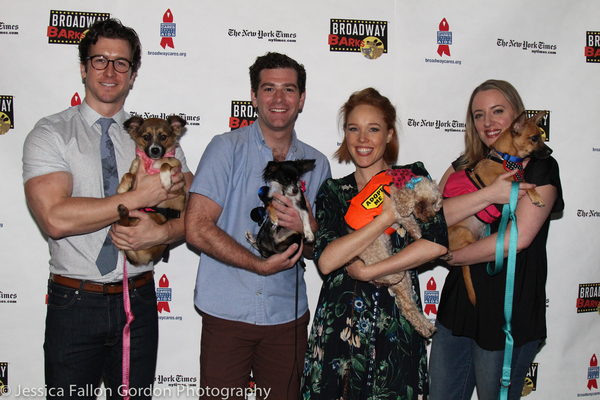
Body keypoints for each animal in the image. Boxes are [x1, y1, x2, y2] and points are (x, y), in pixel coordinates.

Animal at [115, 115, 185, 266]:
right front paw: (122, 188)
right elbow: (128, 174)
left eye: (163, 136)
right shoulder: (135, 168)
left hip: (153, 216)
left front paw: (165, 179)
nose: (155, 150)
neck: (151, 163)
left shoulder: (177, 177)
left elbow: (165, 164)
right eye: (146, 137)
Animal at [356, 175, 446, 338]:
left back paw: (427, 327)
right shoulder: (402, 216)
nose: (430, 218)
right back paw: (425, 329)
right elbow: (417, 231)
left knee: (409, 305)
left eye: (432, 202)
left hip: (405, 279)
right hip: (398, 278)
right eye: (420, 203)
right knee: (407, 308)